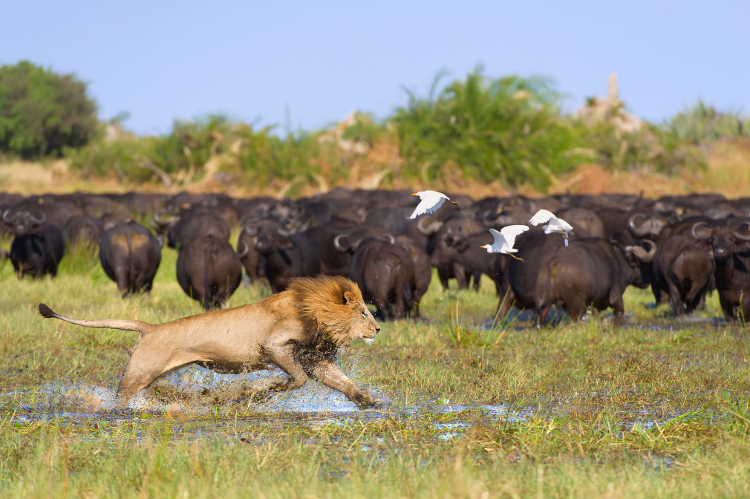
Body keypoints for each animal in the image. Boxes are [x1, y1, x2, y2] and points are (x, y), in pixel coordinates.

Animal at [38, 274, 384, 410]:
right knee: (119, 398)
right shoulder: (274, 345)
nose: (379, 328)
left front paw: (369, 402)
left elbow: (344, 382)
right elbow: (296, 379)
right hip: (137, 374)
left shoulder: (316, 358)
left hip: (147, 375)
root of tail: (151, 327)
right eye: (364, 312)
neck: (316, 313)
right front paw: (263, 392)